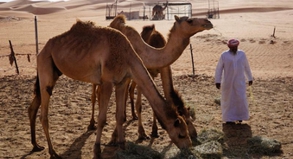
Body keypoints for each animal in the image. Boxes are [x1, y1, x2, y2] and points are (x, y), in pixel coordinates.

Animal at [28, 20, 192, 159]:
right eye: (181, 134)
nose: (189, 147)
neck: (128, 53)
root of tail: (41, 51)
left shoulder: (121, 81)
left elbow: (119, 116)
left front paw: (123, 146)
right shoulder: (107, 81)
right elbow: (102, 118)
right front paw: (97, 150)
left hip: (53, 71)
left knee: (34, 106)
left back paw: (36, 145)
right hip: (45, 66)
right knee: (44, 114)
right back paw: (53, 152)